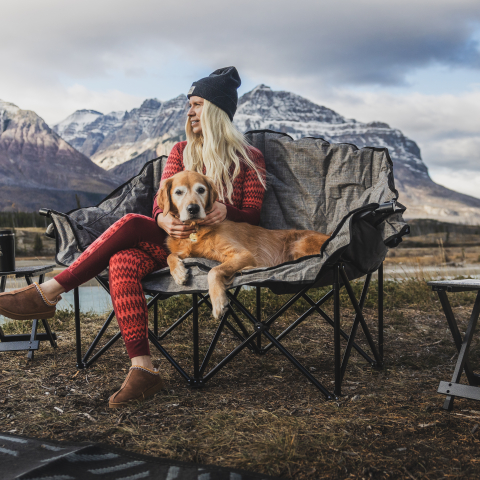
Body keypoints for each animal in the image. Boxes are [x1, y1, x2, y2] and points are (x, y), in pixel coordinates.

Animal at [158, 172, 330, 318]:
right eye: (178, 192)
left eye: (201, 190)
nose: (193, 209)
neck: (195, 229)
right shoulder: (189, 252)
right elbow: (170, 256)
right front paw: (179, 273)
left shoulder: (244, 254)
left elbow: (213, 271)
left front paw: (218, 302)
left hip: (298, 245)